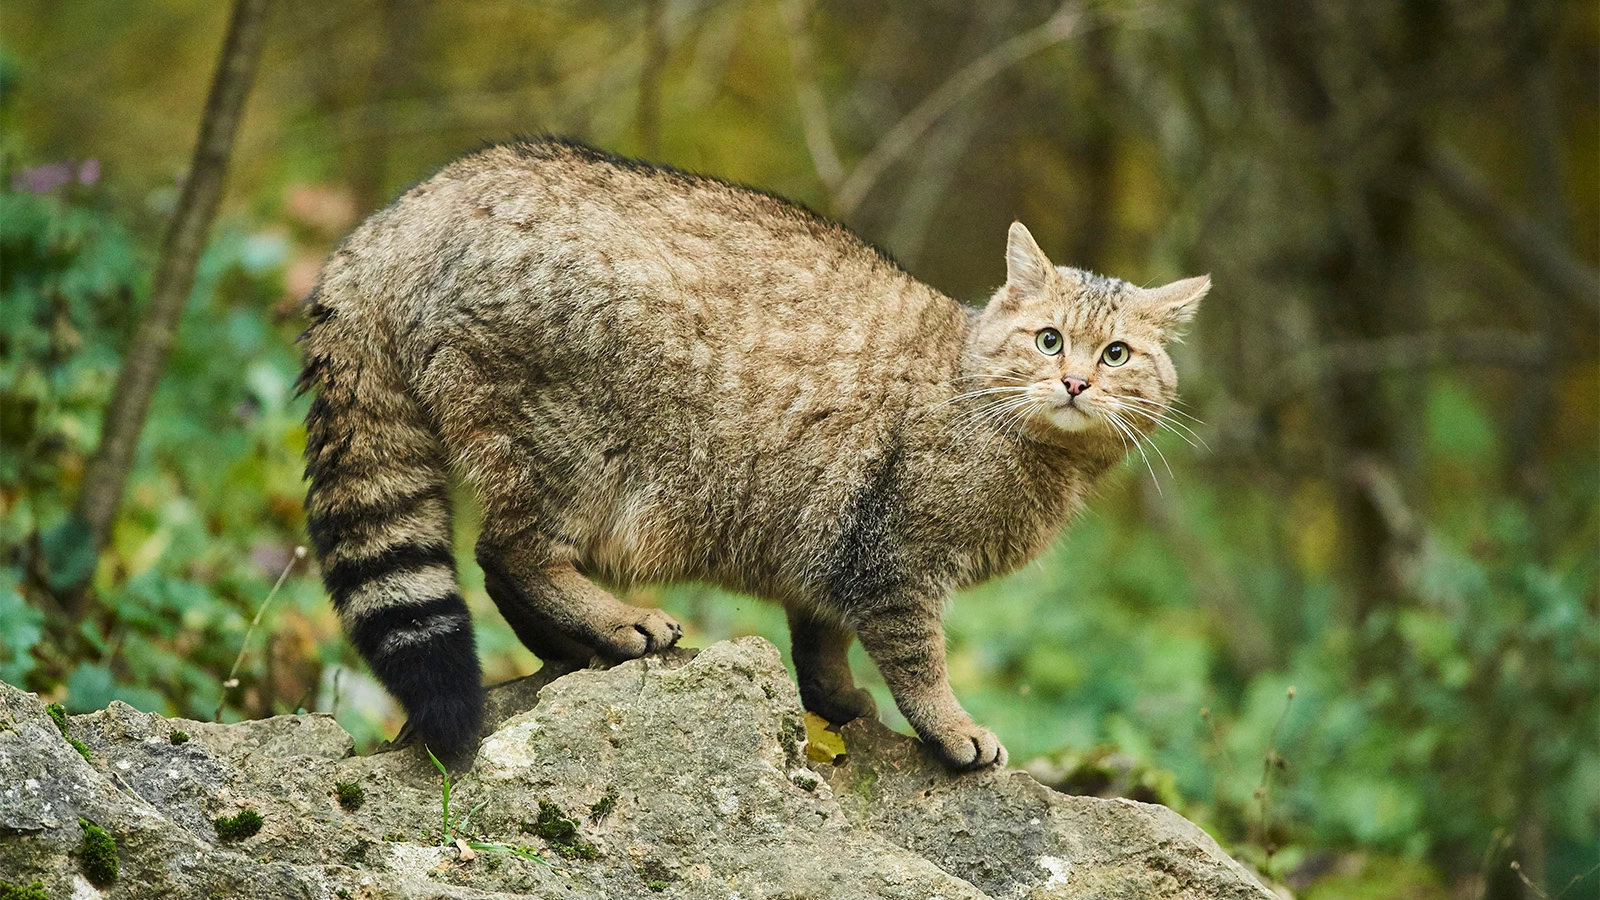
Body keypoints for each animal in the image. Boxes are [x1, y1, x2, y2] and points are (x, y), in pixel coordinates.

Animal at [297, 136, 1203, 768]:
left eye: (1116, 354)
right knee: (511, 552)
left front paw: (836, 699)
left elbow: (821, 636)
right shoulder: (897, 561)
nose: (1077, 382)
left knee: (496, 566)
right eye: (1049, 340)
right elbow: (920, 663)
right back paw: (615, 621)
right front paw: (952, 728)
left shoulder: (832, 537)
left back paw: (575, 645)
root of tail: (414, 206)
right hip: (566, 449)